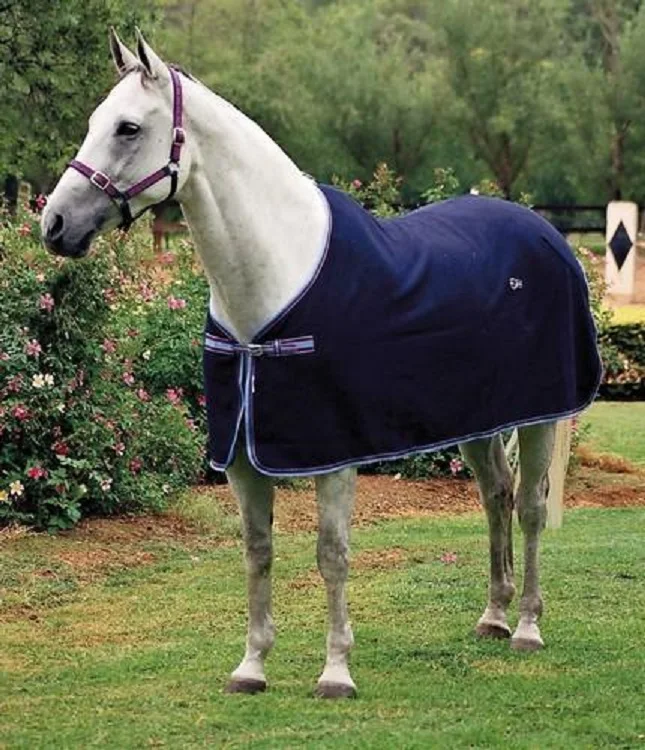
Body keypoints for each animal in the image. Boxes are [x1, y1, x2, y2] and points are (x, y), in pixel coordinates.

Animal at [41, 30, 601, 699]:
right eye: (94, 122)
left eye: (128, 128)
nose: (54, 224)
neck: (271, 282)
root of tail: (545, 233)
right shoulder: (242, 455)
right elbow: (258, 551)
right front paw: (252, 666)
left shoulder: (333, 454)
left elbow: (331, 554)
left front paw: (336, 672)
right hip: (479, 421)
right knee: (495, 495)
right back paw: (493, 616)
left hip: (541, 416)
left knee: (530, 508)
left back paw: (527, 628)